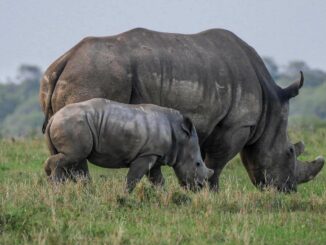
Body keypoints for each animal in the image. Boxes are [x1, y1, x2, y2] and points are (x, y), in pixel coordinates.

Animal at [43, 97, 213, 191]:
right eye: (198, 164)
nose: (200, 187)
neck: (180, 136)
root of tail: (54, 117)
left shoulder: (154, 154)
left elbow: (158, 180)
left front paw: (164, 198)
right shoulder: (146, 155)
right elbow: (133, 178)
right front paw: (124, 196)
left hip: (71, 124)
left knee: (74, 160)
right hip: (73, 124)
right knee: (73, 156)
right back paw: (57, 187)